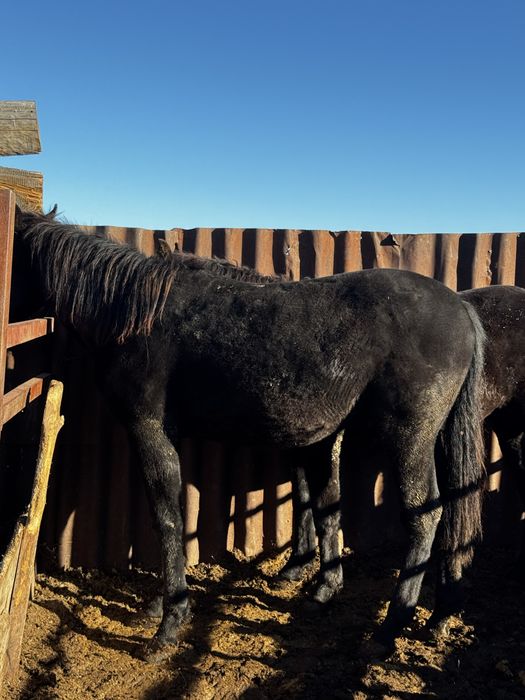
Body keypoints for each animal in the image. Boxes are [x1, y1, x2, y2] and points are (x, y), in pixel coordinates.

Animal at [12, 207, 486, 659]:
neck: (136, 315)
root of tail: (460, 308)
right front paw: (161, 606)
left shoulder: (148, 430)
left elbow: (167, 519)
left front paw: (169, 623)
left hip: (412, 439)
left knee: (424, 517)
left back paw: (388, 631)